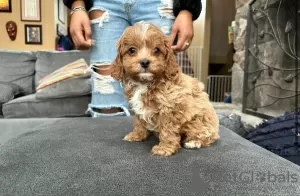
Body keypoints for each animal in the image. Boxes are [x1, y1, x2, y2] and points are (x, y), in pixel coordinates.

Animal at [111, 21, 219, 156]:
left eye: (156, 50)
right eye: (131, 50)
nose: (145, 62)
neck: (145, 82)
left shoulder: (169, 108)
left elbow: (168, 130)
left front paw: (164, 148)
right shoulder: (137, 107)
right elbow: (139, 122)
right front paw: (137, 135)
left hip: (198, 122)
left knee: (207, 136)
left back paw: (194, 142)